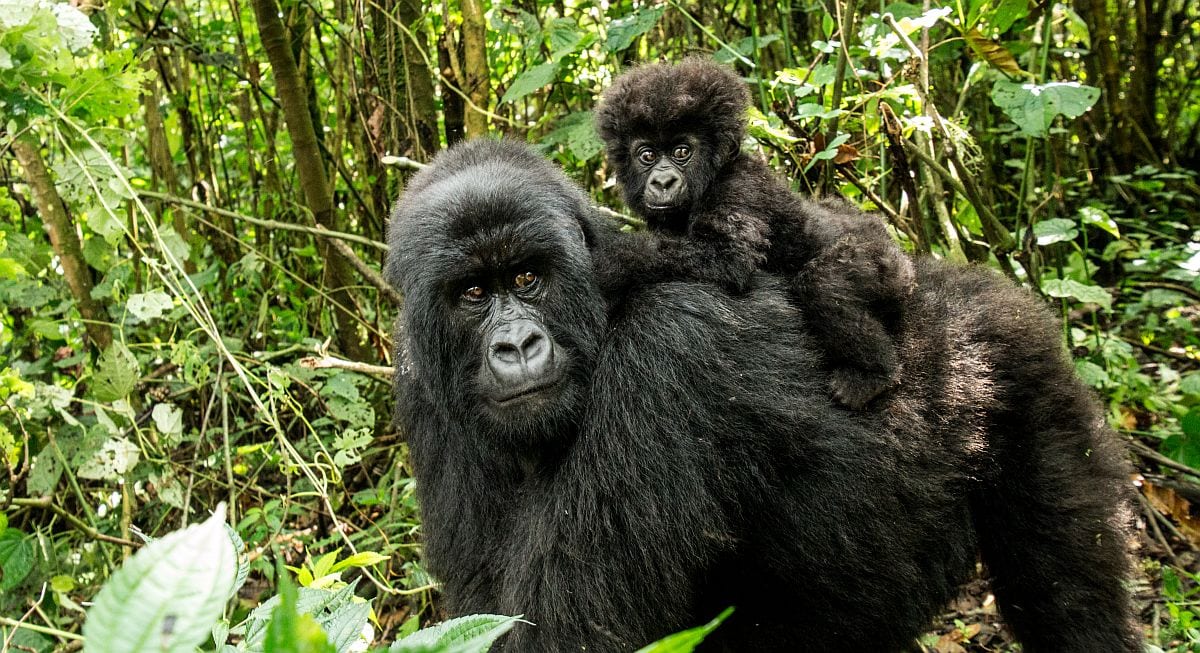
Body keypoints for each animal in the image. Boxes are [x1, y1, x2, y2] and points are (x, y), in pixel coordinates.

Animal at [384, 140, 1132, 648]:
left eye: (528, 277)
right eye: (472, 293)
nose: (516, 345)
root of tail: (975, 287)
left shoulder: (666, 358)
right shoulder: (423, 393)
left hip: (1026, 377)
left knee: (1068, 599)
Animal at [595, 60, 912, 408]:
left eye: (681, 151)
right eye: (647, 156)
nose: (663, 182)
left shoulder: (738, 186)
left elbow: (727, 256)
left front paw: (610, 259)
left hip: (887, 265)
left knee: (825, 283)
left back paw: (873, 374)